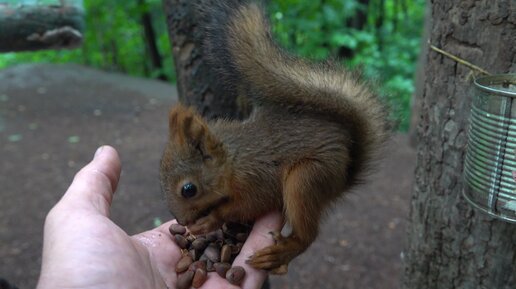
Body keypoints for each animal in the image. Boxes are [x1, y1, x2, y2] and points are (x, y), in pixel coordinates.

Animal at [159, 0, 390, 274]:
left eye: (189, 189)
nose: (181, 220)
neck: (232, 160)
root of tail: (344, 175)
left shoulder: (257, 179)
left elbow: (252, 204)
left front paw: (210, 220)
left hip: (307, 179)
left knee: (307, 236)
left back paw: (279, 254)